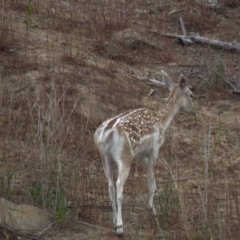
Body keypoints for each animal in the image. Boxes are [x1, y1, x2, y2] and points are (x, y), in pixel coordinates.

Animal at [93, 69, 195, 234]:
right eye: (191, 94)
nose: (194, 111)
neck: (162, 121)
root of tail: (106, 132)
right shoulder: (155, 148)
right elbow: (150, 178)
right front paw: (151, 208)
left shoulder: (140, 154)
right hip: (124, 156)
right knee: (119, 185)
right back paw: (120, 227)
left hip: (105, 157)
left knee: (110, 185)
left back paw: (114, 221)